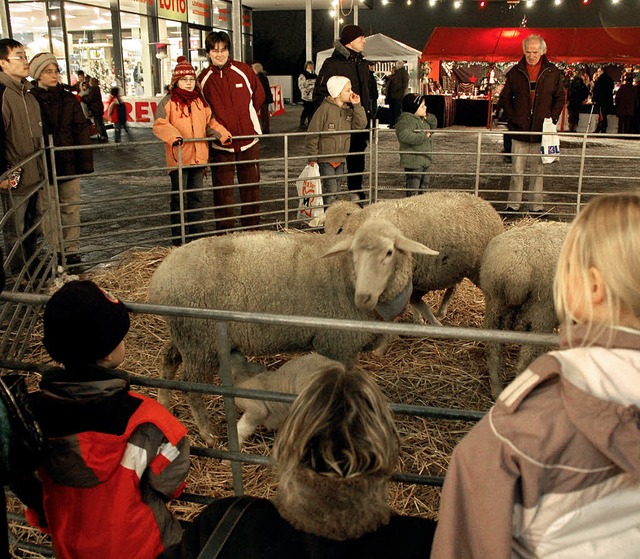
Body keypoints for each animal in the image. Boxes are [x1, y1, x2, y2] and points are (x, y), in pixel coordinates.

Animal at [148, 219, 438, 446]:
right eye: (353, 254)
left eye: (389, 252)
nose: (363, 297)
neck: (344, 274)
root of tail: (161, 278)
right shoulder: (337, 344)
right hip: (199, 338)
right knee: (191, 386)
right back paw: (207, 433)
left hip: (186, 335)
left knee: (168, 358)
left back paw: (163, 404)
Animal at [324, 192, 504, 326]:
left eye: (339, 229)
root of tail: (483, 202)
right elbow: (414, 302)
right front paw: (420, 320)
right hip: (456, 267)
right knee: (452, 288)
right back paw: (441, 312)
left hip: (477, 269)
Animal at [480, 219, 568, 398]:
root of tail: (517, 266)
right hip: (542, 312)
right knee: (526, 359)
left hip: (494, 304)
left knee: (493, 349)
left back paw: (496, 390)